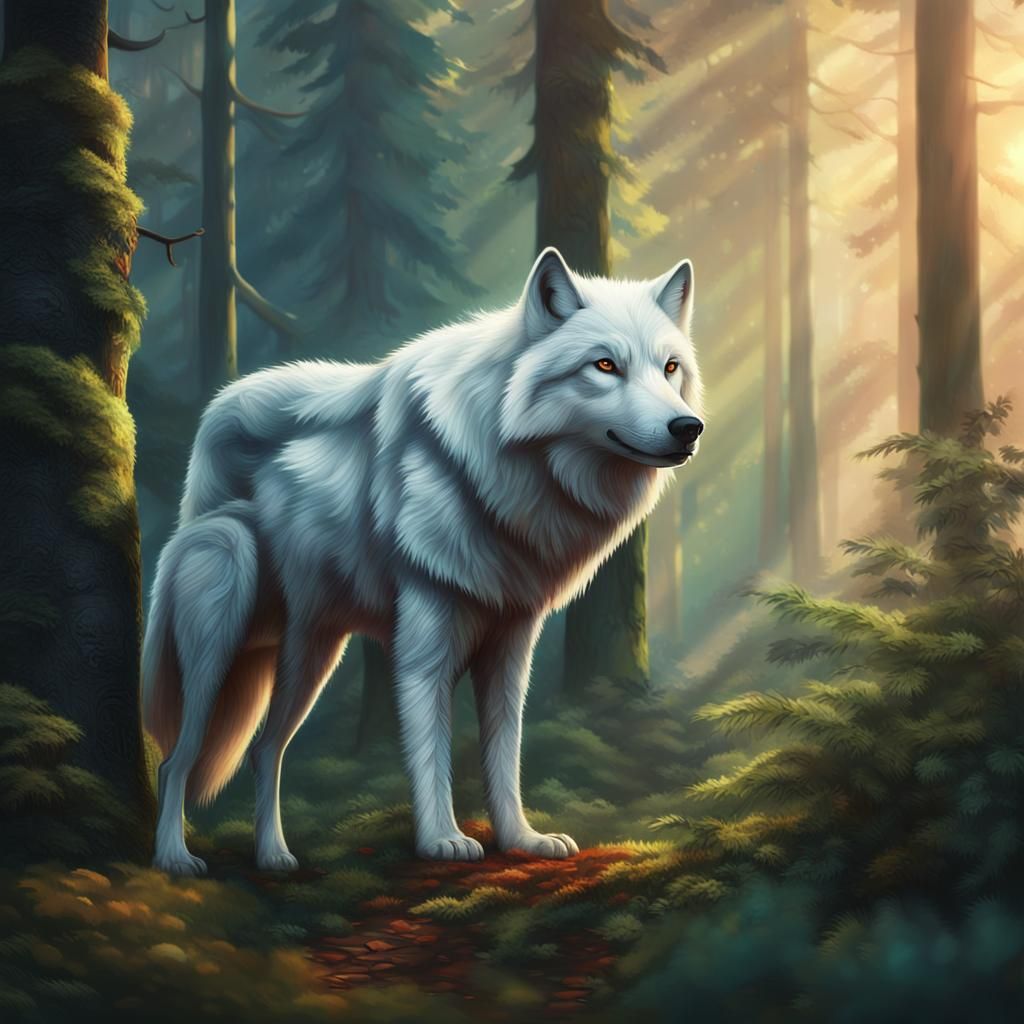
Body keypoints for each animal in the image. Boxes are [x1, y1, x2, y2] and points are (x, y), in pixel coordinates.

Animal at [143, 247, 704, 875]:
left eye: (671, 368)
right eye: (605, 365)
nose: (689, 428)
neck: (506, 471)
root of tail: (218, 417)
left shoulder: (512, 642)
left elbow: (504, 753)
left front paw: (521, 839)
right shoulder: (424, 638)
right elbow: (431, 750)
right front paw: (442, 840)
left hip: (313, 654)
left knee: (265, 750)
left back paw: (274, 856)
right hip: (225, 623)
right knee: (175, 759)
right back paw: (173, 857)